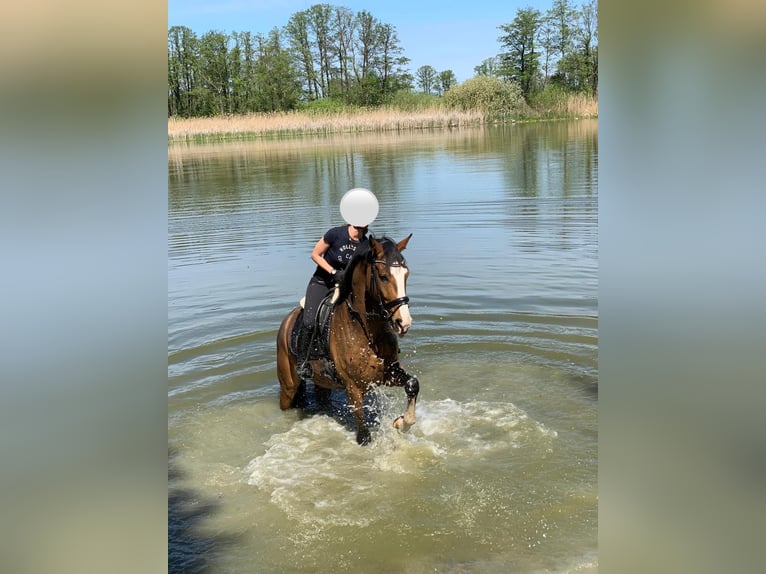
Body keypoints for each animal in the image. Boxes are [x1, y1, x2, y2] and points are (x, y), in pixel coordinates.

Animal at [276, 234, 420, 446]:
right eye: (383, 276)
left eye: (406, 274)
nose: (404, 323)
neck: (365, 329)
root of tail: (285, 322)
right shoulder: (353, 388)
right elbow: (364, 437)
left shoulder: (388, 374)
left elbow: (412, 384)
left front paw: (401, 423)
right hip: (288, 386)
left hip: (322, 382)